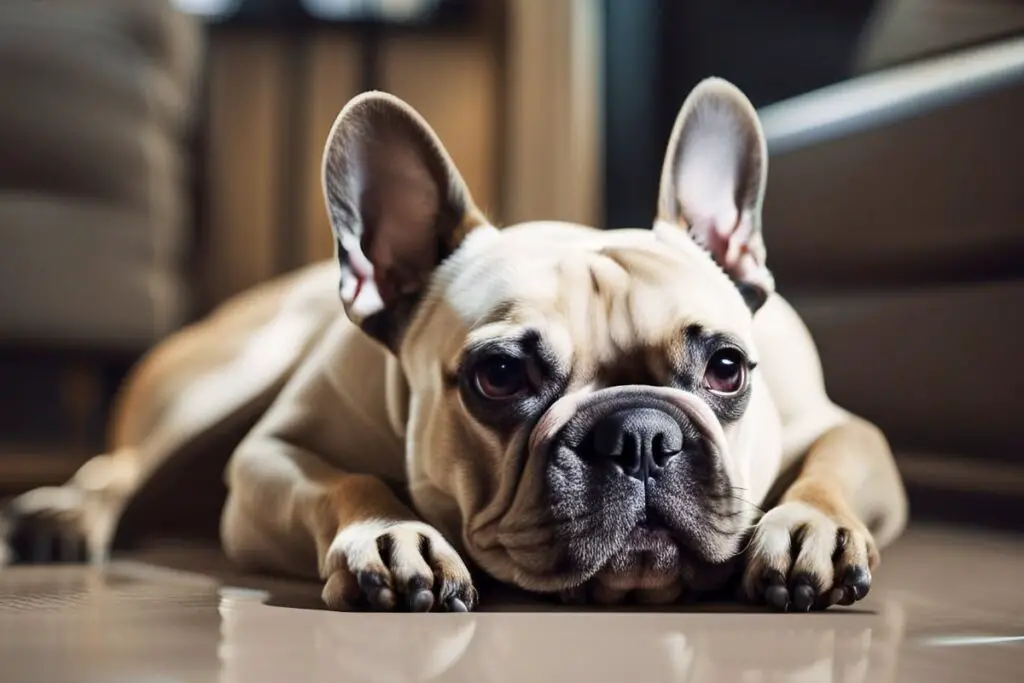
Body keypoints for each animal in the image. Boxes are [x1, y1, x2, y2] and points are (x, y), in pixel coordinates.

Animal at [6, 80, 905, 614]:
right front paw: (390, 533)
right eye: (499, 376)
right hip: (223, 382)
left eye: (726, 369)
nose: (641, 435)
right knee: (121, 466)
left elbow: (836, 461)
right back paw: (66, 514)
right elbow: (348, 479)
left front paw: (810, 525)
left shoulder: (848, 429)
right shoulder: (267, 460)